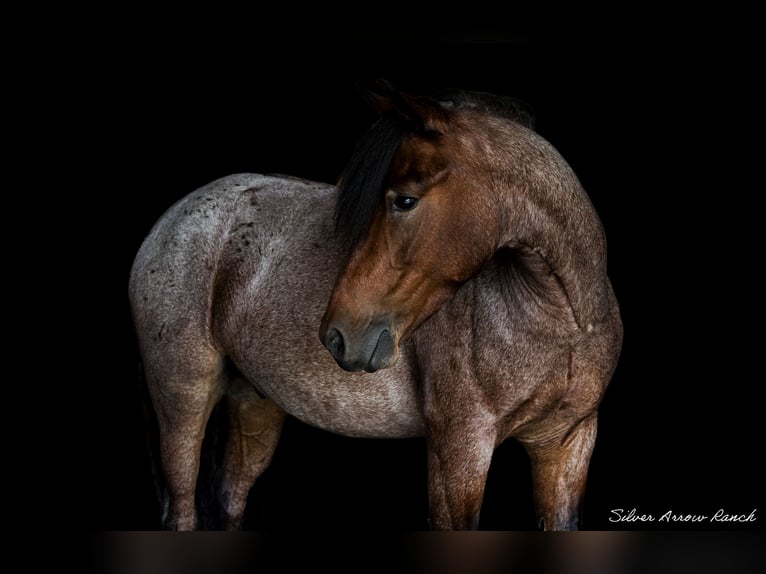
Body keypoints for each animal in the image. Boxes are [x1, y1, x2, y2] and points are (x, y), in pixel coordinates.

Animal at [130, 80, 624, 532]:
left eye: (404, 200)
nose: (337, 335)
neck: (563, 324)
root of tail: (169, 222)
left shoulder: (567, 445)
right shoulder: (459, 451)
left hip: (253, 403)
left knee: (229, 499)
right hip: (183, 403)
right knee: (182, 509)